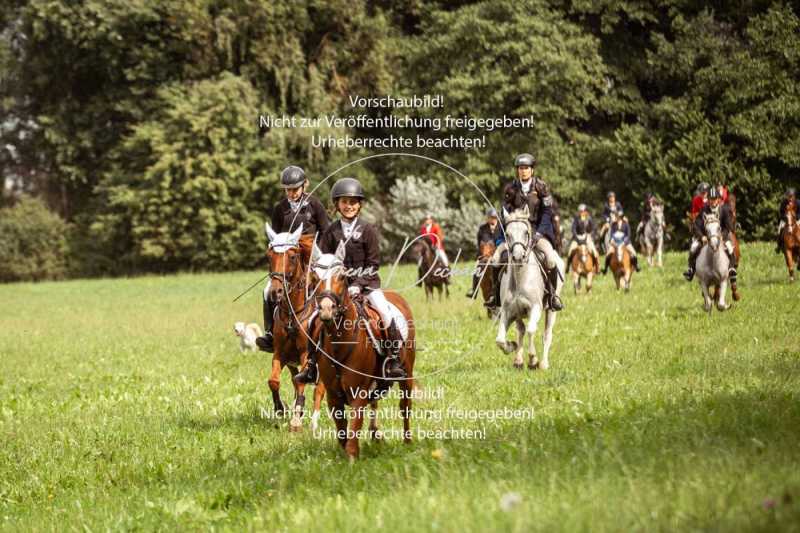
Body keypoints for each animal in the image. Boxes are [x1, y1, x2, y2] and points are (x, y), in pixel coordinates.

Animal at [490, 208, 560, 370]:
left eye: (526, 233)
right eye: (507, 234)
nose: (517, 257)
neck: (520, 277)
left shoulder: (535, 307)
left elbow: (531, 330)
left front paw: (533, 359)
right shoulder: (508, 311)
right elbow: (500, 340)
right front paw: (512, 346)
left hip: (550, 310)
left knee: (546, 334)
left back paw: (543, 364)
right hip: (518, 314)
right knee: (521, 330)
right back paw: (518, 360)